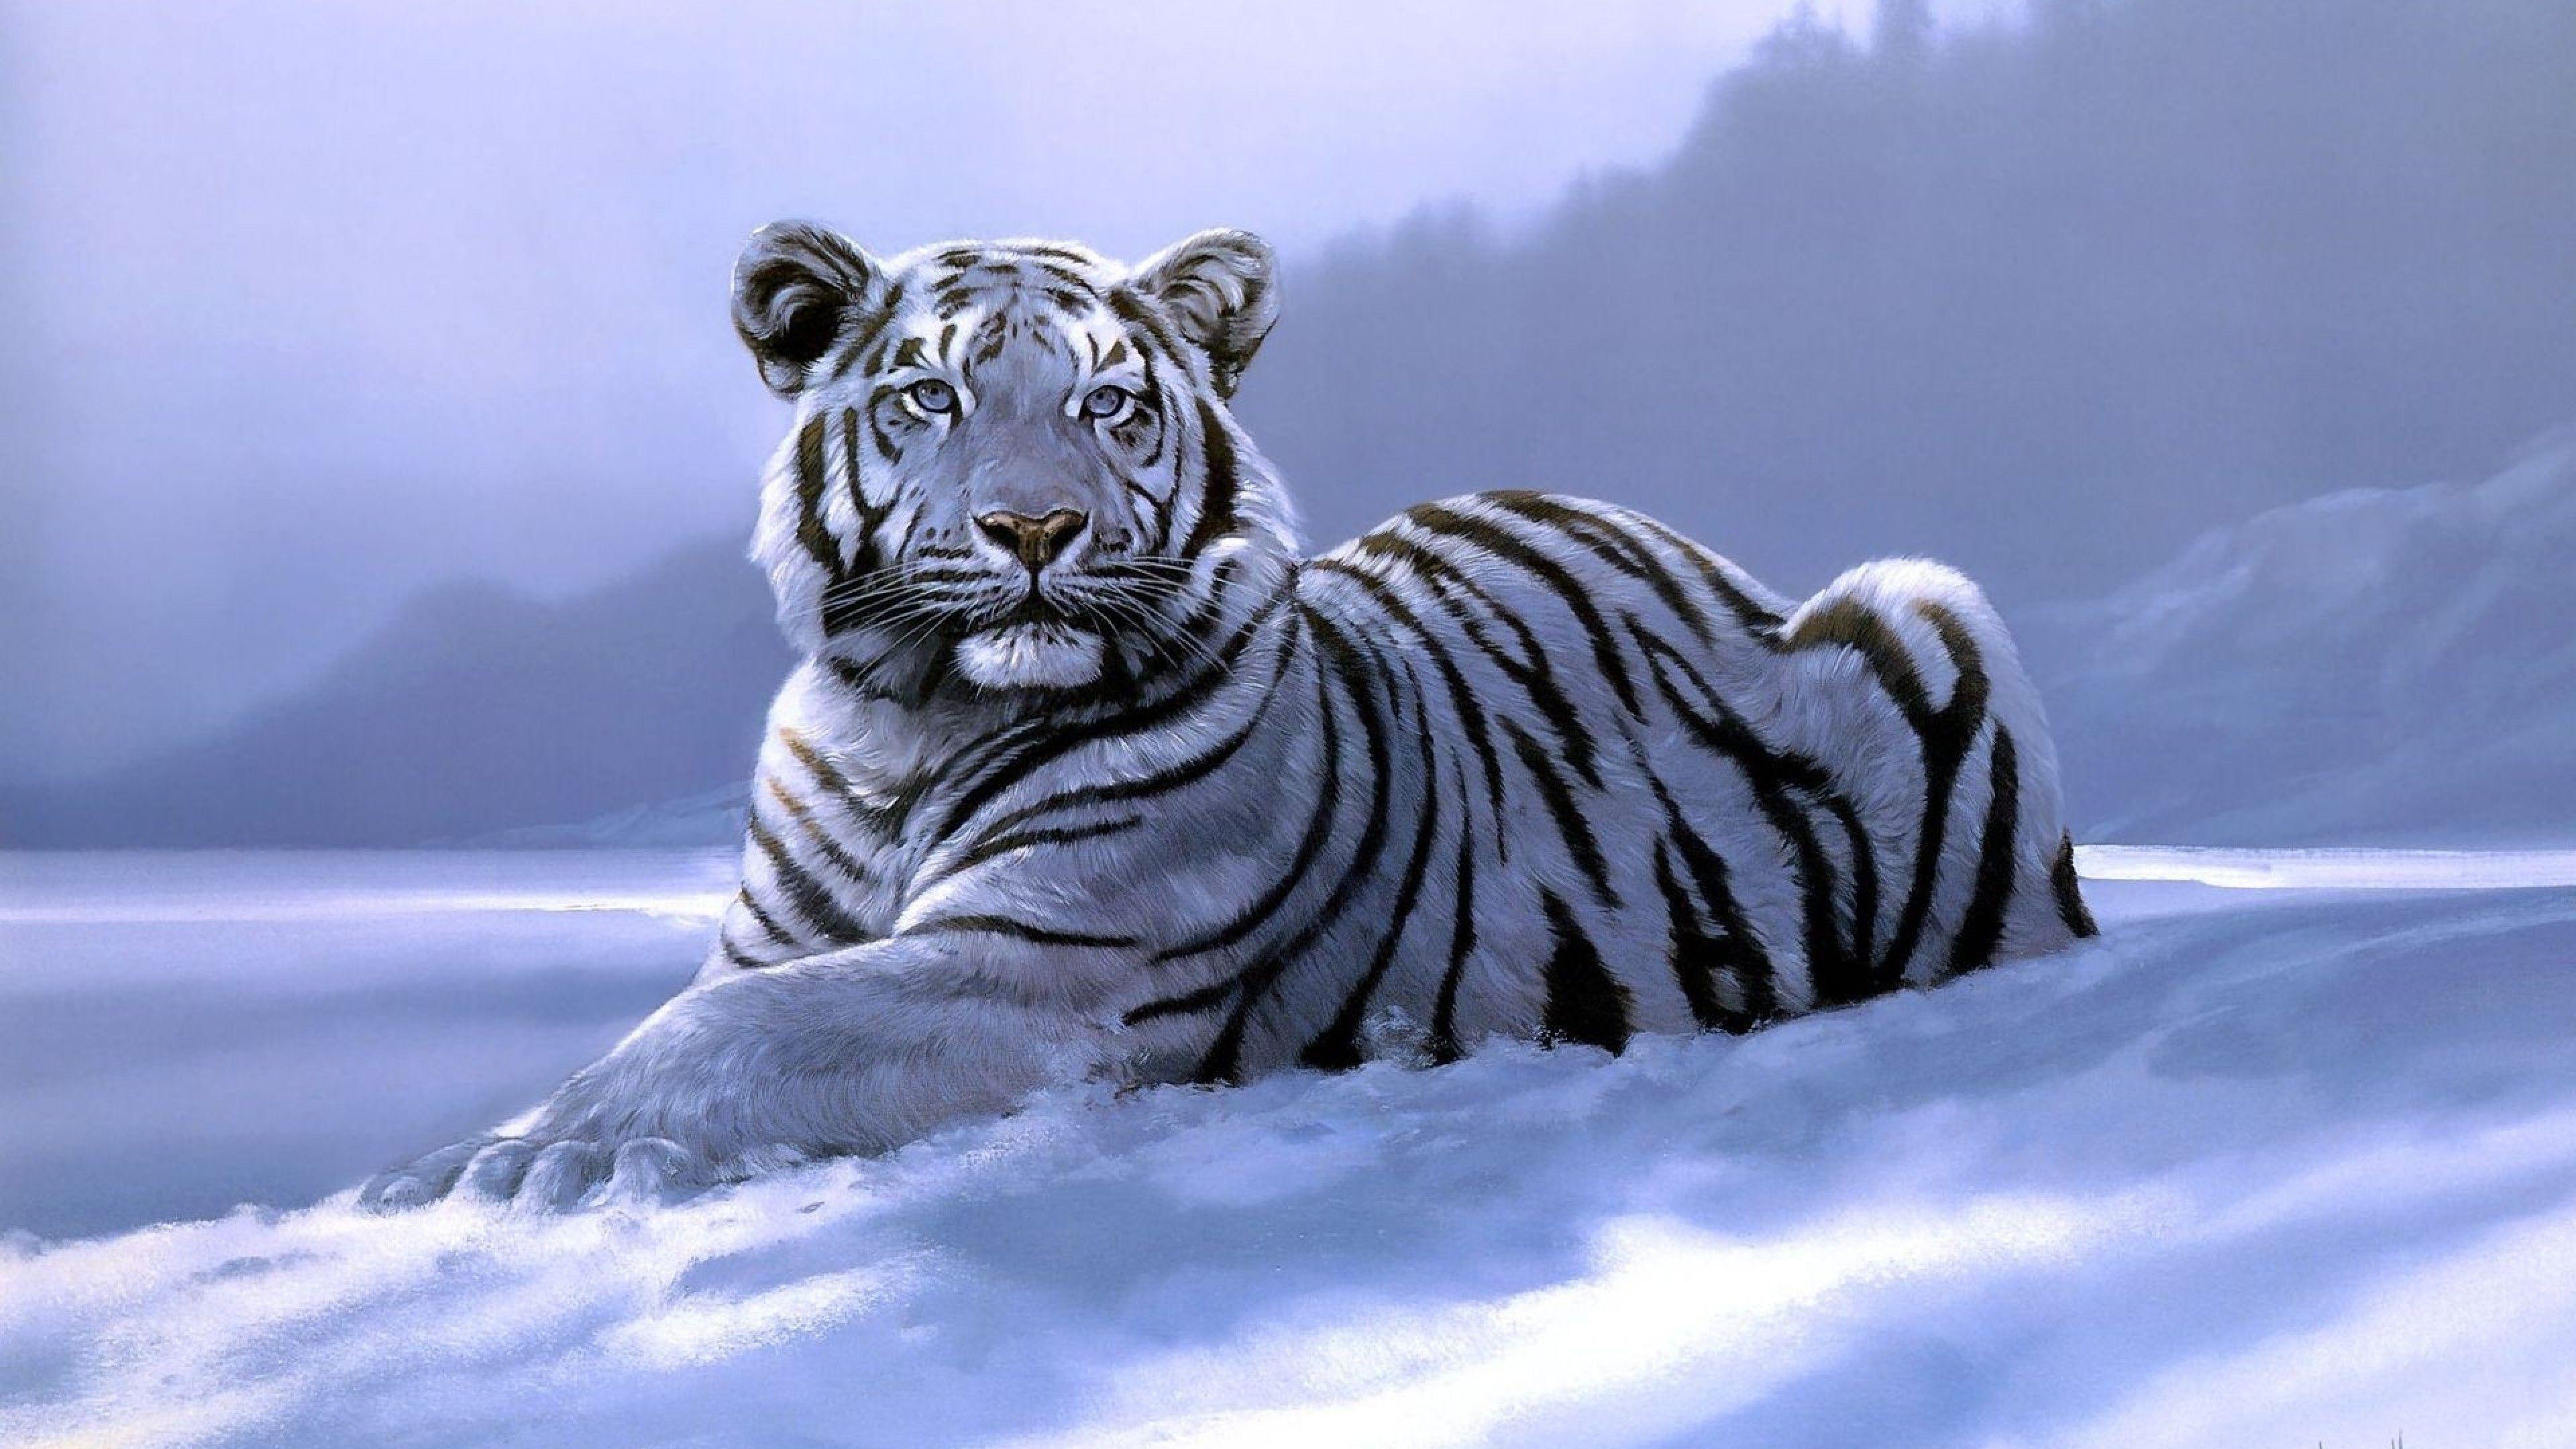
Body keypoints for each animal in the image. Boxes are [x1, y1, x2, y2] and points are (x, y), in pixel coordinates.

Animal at [362, 222, 2098, 1212]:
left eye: (1108, 403)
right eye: (928, 396)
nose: (1034, 529)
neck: (906, 724)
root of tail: (1702, 552)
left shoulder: (1040, 964)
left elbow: (724, 1033)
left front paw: (502, 1161)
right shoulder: (783, 934)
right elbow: (707, 1009)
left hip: (1931, 604)